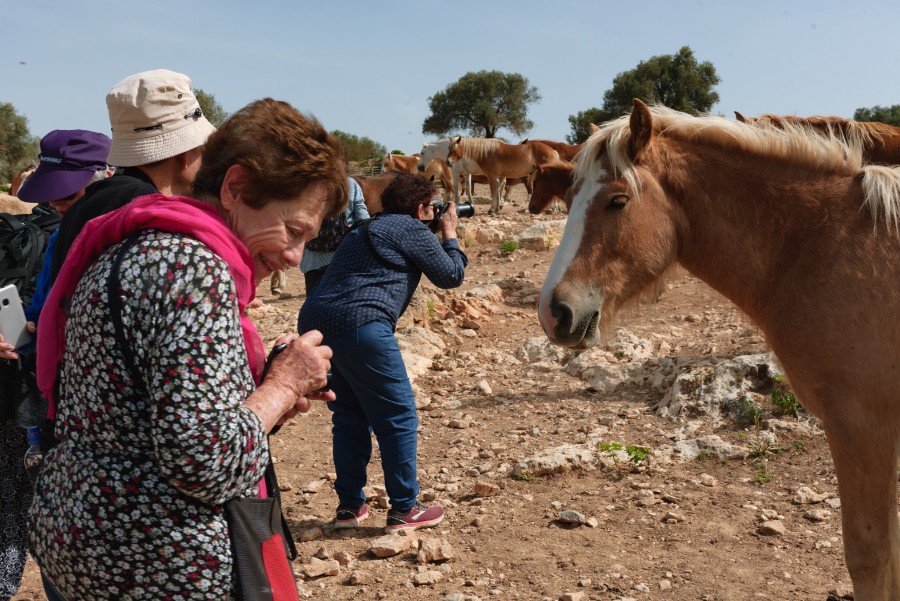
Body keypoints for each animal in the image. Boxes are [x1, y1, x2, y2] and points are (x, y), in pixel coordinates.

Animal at [536, 99, 900, 600]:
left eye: (618, 200)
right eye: (569, 202)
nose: (553, 311)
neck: (823, 244)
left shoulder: (862, 426)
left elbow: (870, 558)